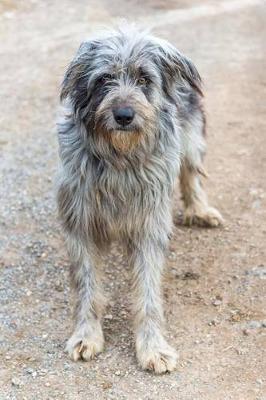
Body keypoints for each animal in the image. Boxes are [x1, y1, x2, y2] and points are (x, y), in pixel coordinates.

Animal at [57, 26, 223, 374]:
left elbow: (147, 293)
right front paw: (86, 335)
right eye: (104, 78)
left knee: (190, 172)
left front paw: (152, 347)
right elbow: (87, 286)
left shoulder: (149, 224)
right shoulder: (80, 221)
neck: (119, 158)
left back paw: (200, 210)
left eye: (144, 78)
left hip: (191, 135)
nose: (123, 115)